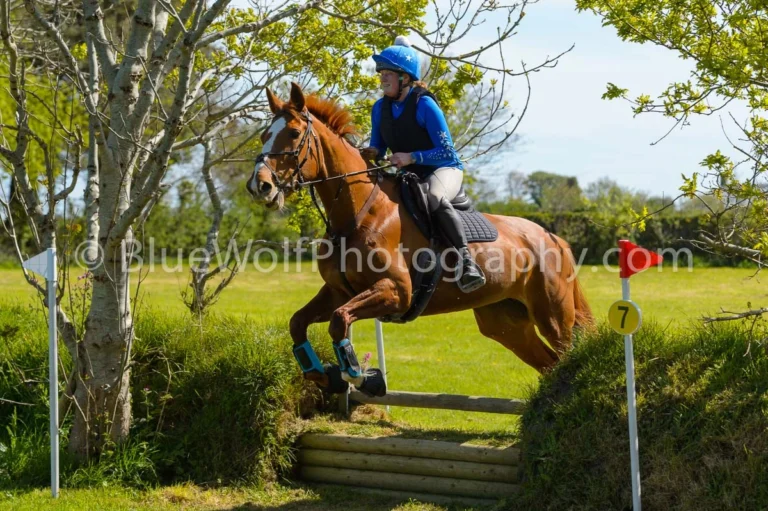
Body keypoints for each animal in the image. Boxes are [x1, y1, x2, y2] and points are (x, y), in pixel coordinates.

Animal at [246, 83, 593, 395]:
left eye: (293, 134)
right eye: (263, 136)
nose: (259, 186)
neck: (356, 215)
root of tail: (553, 238)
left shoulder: (397, 291)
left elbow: (338, 320)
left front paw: (364, 378)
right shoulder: (337, 291)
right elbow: (298, 323)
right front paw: (325, 376)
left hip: (553, 316)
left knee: (565, 355)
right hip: (505, 323)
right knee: (549, 363)